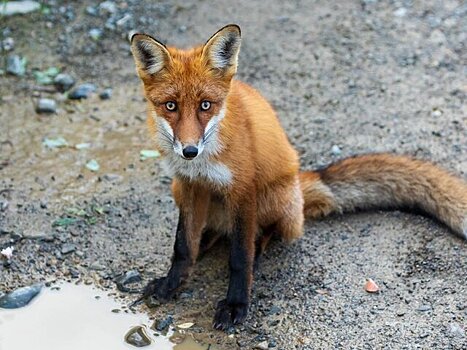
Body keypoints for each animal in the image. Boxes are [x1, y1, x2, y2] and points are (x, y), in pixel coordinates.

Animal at [130, 23, 467, 330]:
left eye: (205, 105)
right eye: (170, 106)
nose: (189, 151)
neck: (206, 159)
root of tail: (300, 186)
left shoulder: (243, 188)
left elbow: (239, 258)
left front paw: (236, 304)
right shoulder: (188, 183)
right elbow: (183, 246)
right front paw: (171, 285)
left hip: (274, 198)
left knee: (265, 234)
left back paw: (257, 248)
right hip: (179, 189)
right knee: (211, 232)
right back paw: (207, 241)